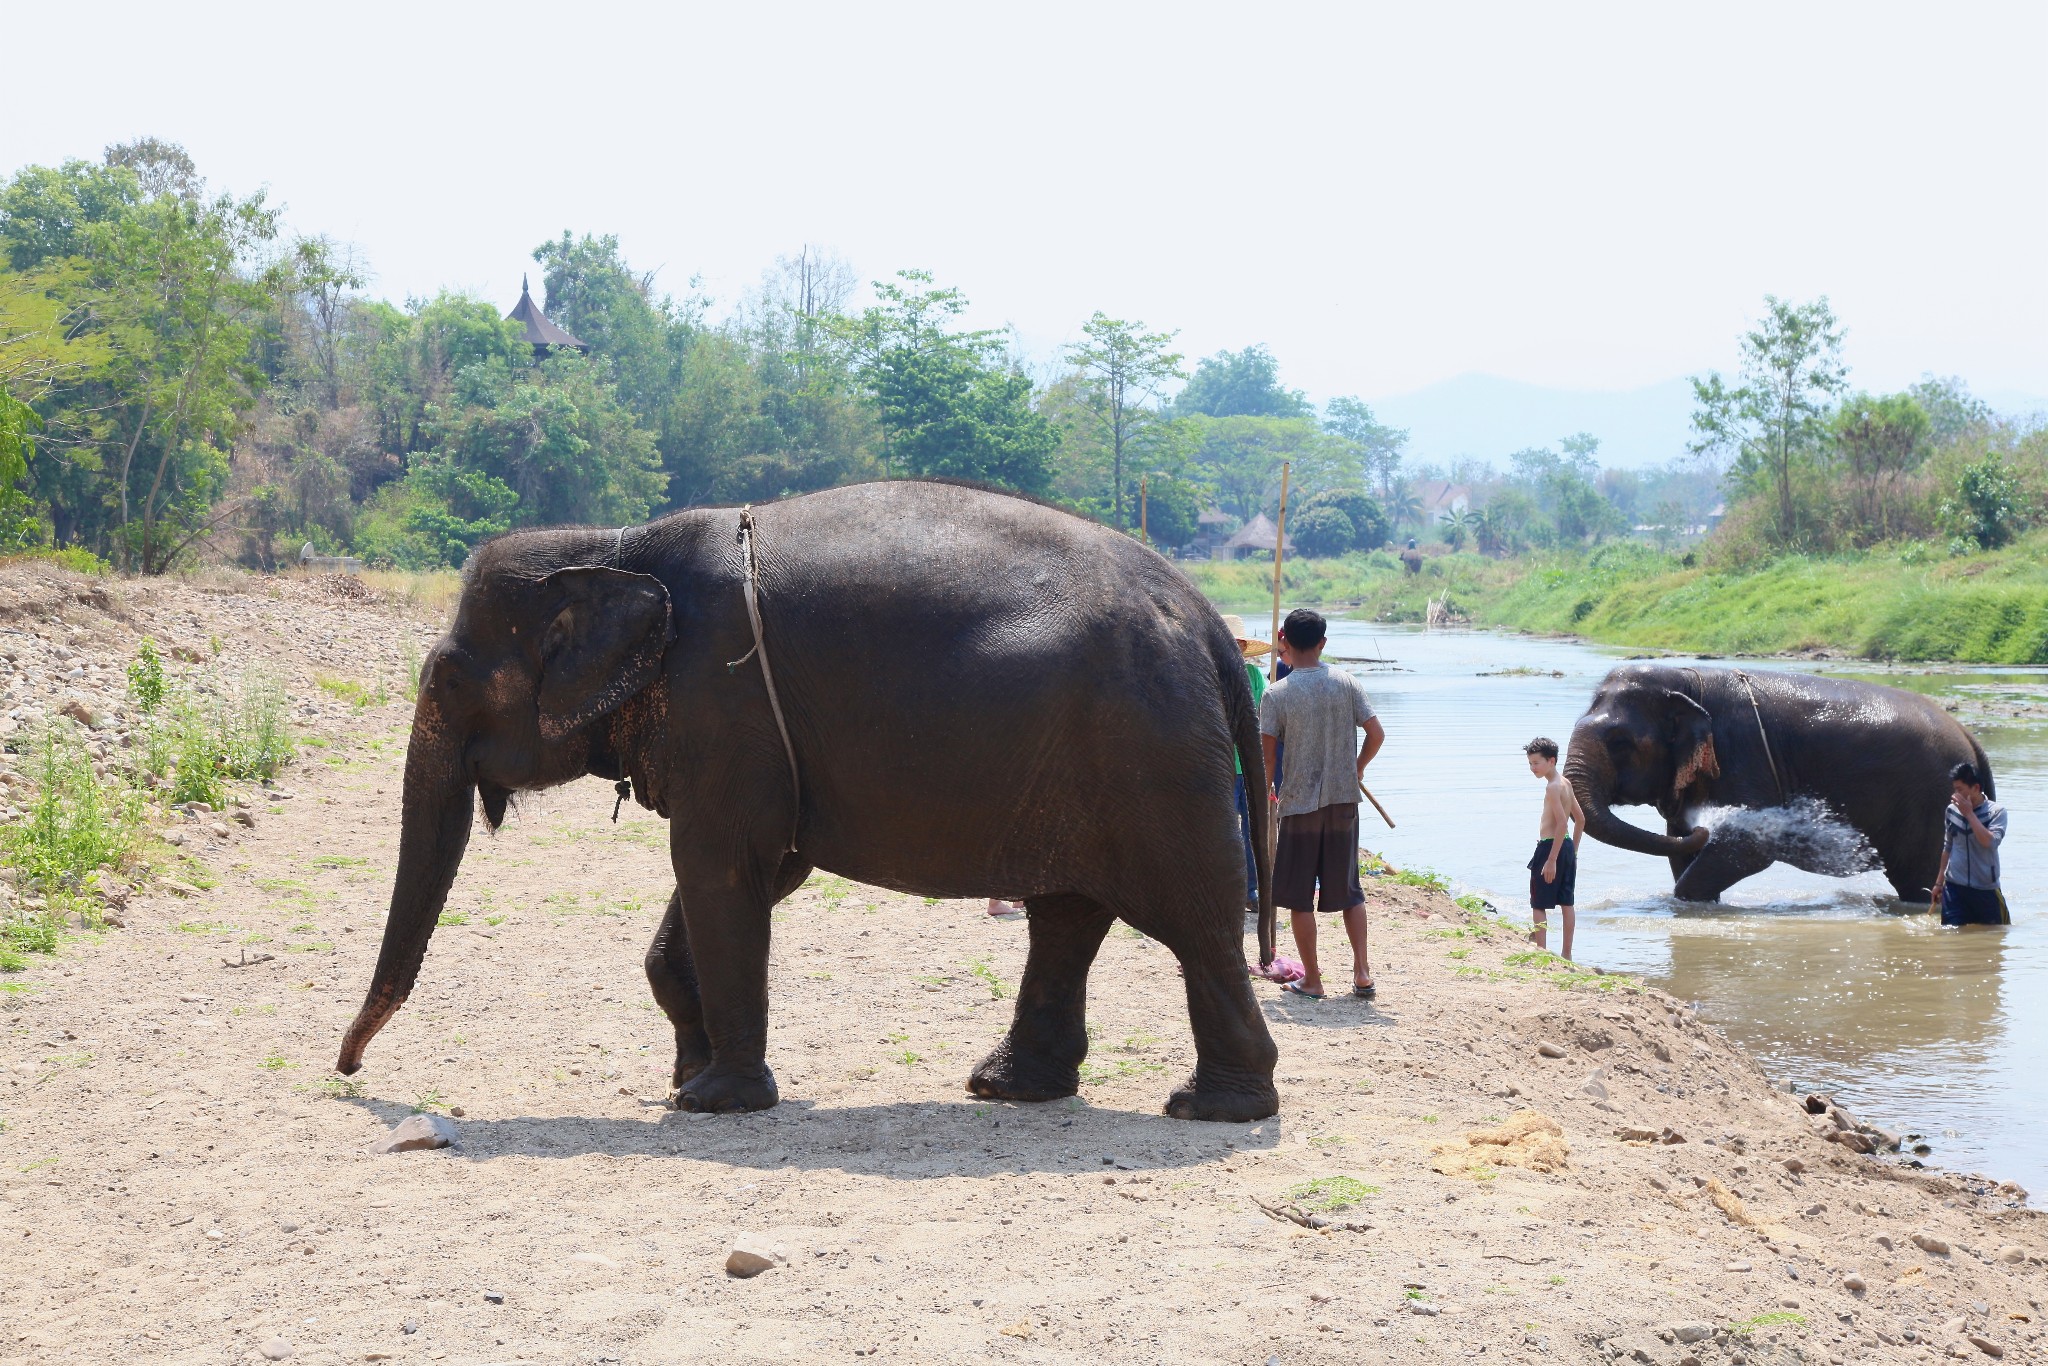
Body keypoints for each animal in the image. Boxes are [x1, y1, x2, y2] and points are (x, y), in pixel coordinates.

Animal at [339, 481, 1277, 1122]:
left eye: (447, 679)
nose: (345, 1071)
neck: (615, 544)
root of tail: (1205, 616)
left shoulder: (728, 703)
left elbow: (720, 865)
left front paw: (711, 1099)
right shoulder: (754, 737)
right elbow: (756, 869)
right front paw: (688, 1074)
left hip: (1156, 761)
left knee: (1194, 917)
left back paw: (1214, 1107)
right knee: (1067, 916)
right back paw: (1007, 1088)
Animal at [1564, 663, 1982, 909]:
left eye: (1620, 742)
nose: (1705, 825)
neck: (1689, 680)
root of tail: (1968, 736)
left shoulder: (1743, 754)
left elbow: (1751, 846)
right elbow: (1680, 848)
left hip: (1929, 803)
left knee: (1919, 881)